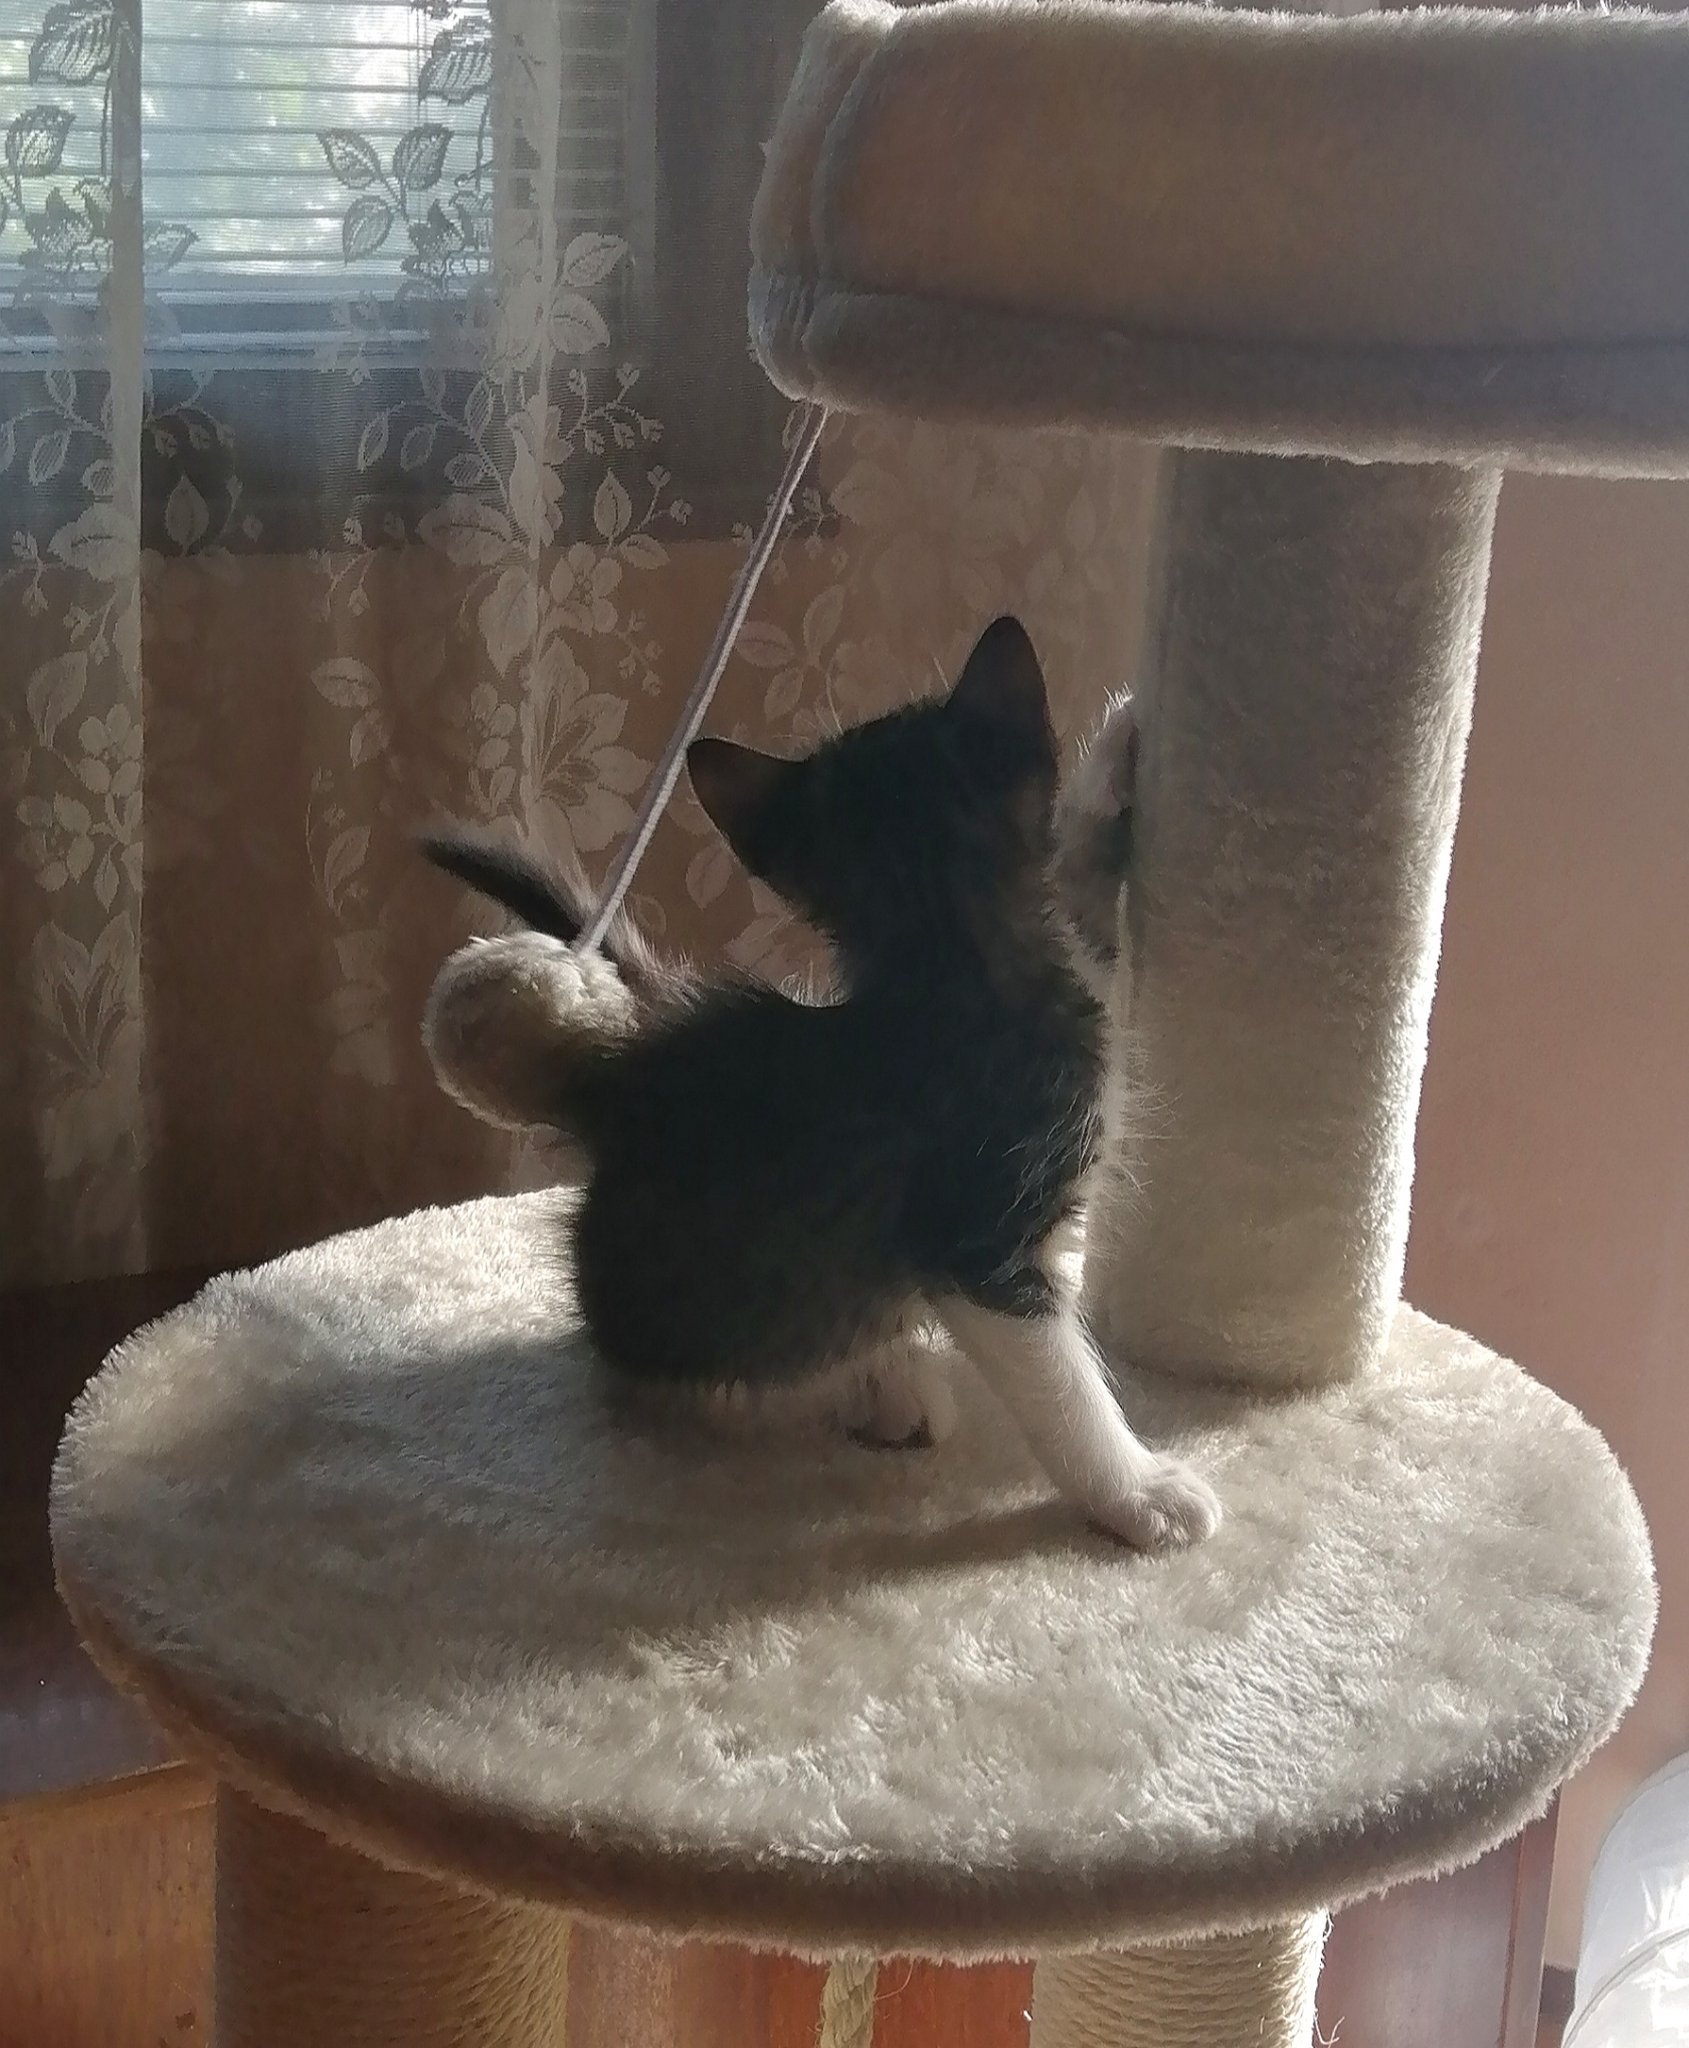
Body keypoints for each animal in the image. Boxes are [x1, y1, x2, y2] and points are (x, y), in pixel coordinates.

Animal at [422, 617, 1219, 1552]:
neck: (946, 949)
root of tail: (625, 1085)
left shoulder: (1073, 953)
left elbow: (1083, 883)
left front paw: (1120, 747)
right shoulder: (978, 1228)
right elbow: (1058, 1380)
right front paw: (1137, 1490)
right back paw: (870, 1383)